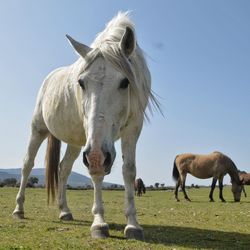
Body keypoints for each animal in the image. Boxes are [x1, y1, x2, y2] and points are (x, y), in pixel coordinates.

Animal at [11, 11, 159, 240]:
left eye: (125, 82)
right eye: (81, 83)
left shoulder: (133, 129)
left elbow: (129, 170)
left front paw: (133, 225)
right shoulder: (95, 148)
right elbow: (96, 173)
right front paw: (99, 224)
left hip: (75, 141)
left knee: (63, 169)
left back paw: (64, 211)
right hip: (38, 129)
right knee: (27, 164)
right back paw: (19, 209)